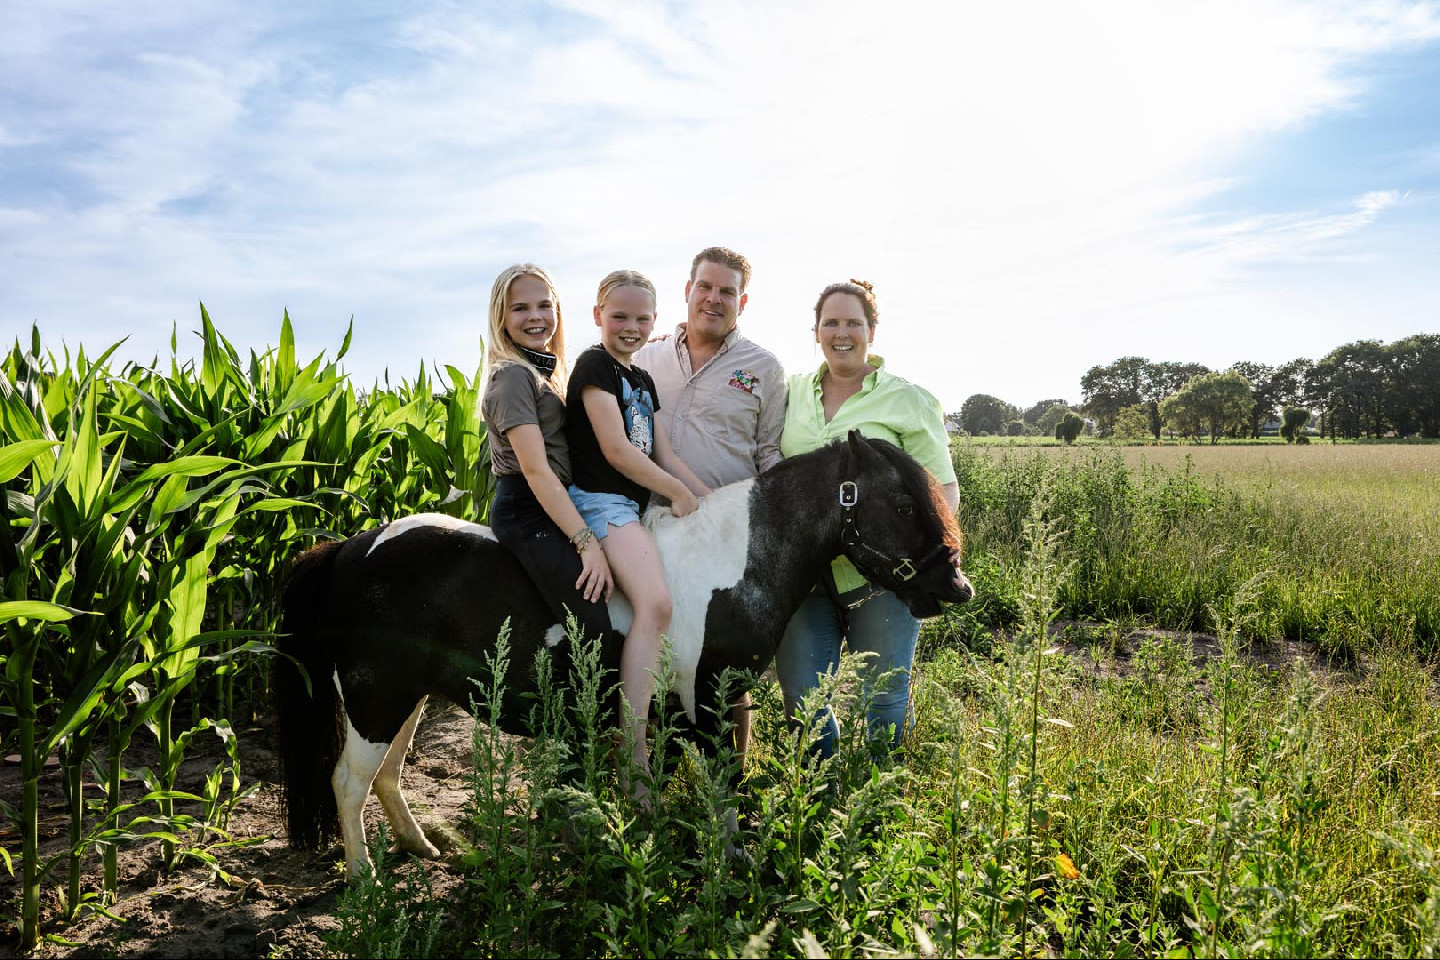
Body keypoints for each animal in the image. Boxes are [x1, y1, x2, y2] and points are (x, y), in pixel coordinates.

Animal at [275, 434, 973, 880]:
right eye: (904, 503)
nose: (955, 588)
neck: (733, 560)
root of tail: (350, 547)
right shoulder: (704, 703)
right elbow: (723, 783)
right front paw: (732, 861)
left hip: (406, 696)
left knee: (386, 775)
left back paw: (421, 847)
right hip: (375, 697)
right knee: (348, 783)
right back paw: (366, 884)